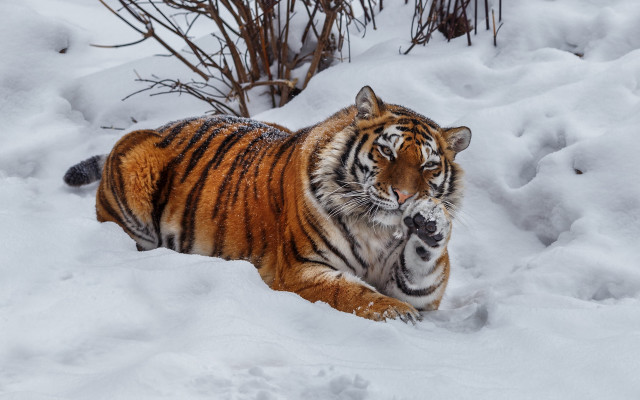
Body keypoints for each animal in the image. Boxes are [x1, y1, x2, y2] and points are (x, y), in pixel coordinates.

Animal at [64, 86, 471, 323]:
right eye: (387, 152)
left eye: (429, 165)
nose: (405, 197)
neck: (379, 229)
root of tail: (161, 126)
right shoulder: (299, 269)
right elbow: (352, 293)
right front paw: (397, 314)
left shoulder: (420, 287)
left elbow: (422, 270)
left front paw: (431, 222)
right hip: (135, 164)